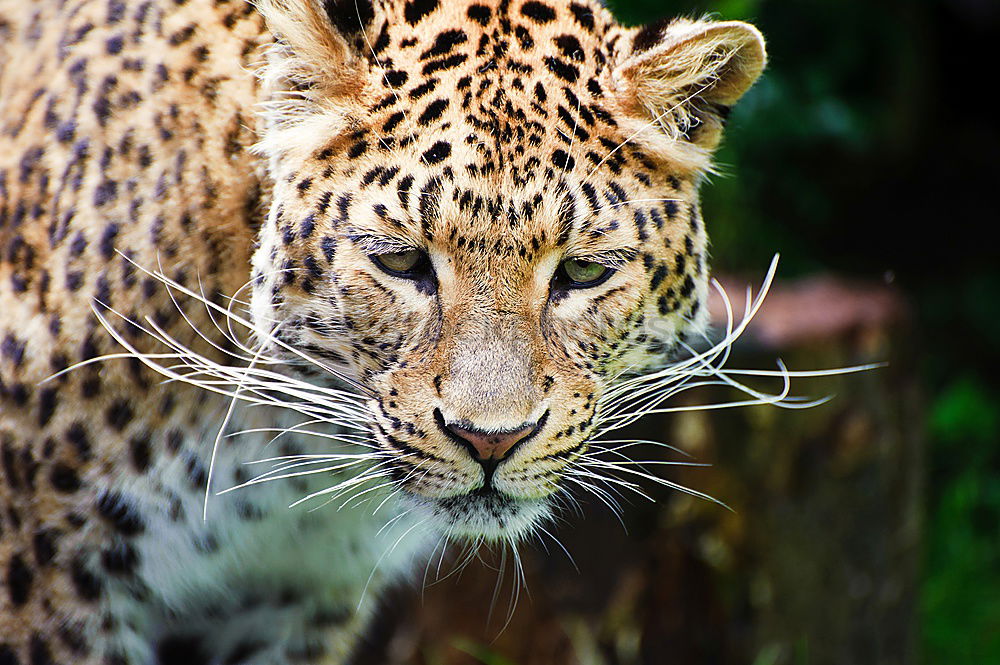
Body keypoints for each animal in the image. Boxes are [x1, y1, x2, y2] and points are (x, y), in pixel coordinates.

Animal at [1, 2, 764, 660]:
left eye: (581, 271)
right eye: (401, 262)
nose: (492, 441)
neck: (287, 460)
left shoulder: (297, 600)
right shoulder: (53, 584)